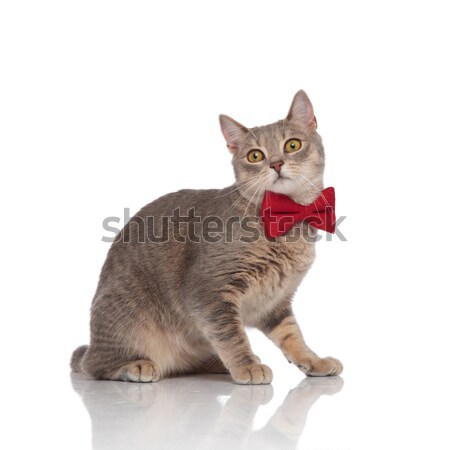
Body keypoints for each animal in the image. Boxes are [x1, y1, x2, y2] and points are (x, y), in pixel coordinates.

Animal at [72, 90, 342, 384]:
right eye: (255, 155)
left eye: (292, 145)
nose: (276, 164)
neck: (287, 223)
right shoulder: (208, 293)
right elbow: (231, 336)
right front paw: (246, 366)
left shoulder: (276, 303)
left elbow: (292, 335)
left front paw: (313, 361)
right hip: (129, 321)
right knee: (94, 365)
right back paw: (136, 365)